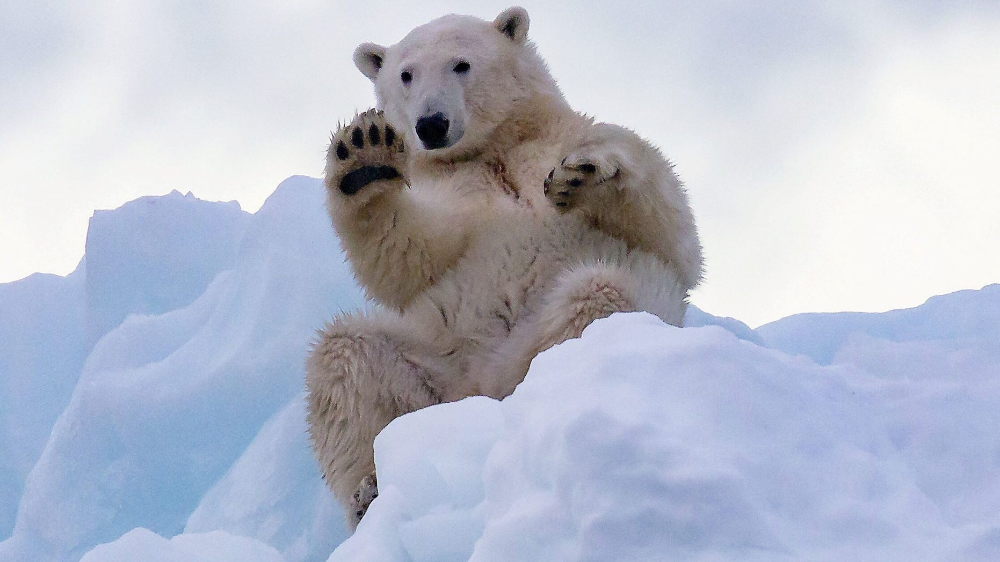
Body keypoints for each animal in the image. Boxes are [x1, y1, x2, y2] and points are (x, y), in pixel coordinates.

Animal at [304, 6, 704, 528]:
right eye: (406, 74)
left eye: (462, 64)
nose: (431, 124)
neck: (495, 152)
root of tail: (482, 391)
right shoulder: (455, 195)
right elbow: (411, 255)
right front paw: (364, 157)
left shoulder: (550, 148)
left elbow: (671, 233)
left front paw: (586, 170)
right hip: (435, 371)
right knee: (343, 359)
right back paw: (367, 491)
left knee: (596, 295)